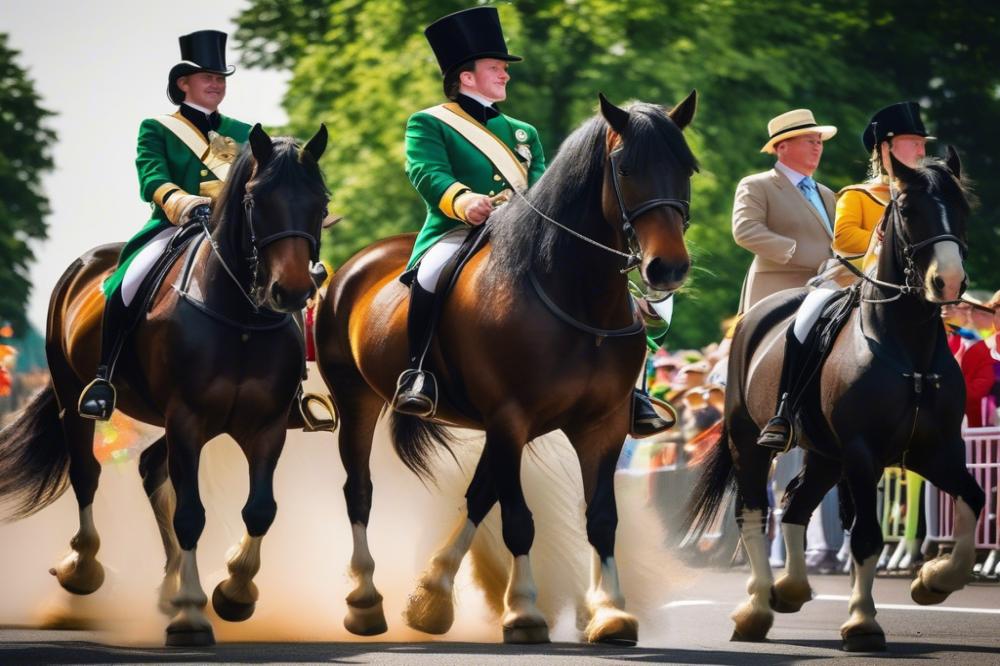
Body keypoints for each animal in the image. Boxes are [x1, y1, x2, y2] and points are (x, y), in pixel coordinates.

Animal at [0, 124, 330, 644]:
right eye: (255, 199)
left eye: (320, 201)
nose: (293, 290)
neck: (240, 318)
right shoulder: (187, 420)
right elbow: (190, 512)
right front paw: (192, 613)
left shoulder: (266, 426)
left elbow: (260, 509)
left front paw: (234, 592)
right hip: (76, 401)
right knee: (87, 475)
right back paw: (84, 569)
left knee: (151, 468)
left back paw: (168, 586)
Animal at [316, 93, 700, 644]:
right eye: (626, 168)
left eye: (686, 167)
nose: (667, 268)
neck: (575, 298)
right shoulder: (510, 419)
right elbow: (519, 520)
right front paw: (523, 612)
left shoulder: (600, 426)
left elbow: (601, 518)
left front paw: (609, 613)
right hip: (357, 401)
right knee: (360, 492)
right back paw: (365, 601)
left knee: (477, 495)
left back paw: (432, 595)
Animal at [680, 149, 984, 648]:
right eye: (907, 209)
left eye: (962, 208)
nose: (949, 281)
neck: (908, 346)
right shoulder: (864, 453)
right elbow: (866, 536)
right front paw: (862, 622)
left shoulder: (936, 451)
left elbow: (973, 501)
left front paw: (935, 579)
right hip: (750, 441)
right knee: (753, 511)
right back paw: (756, 609)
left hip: (825, 455)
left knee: (796, 504)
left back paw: (791, 588)